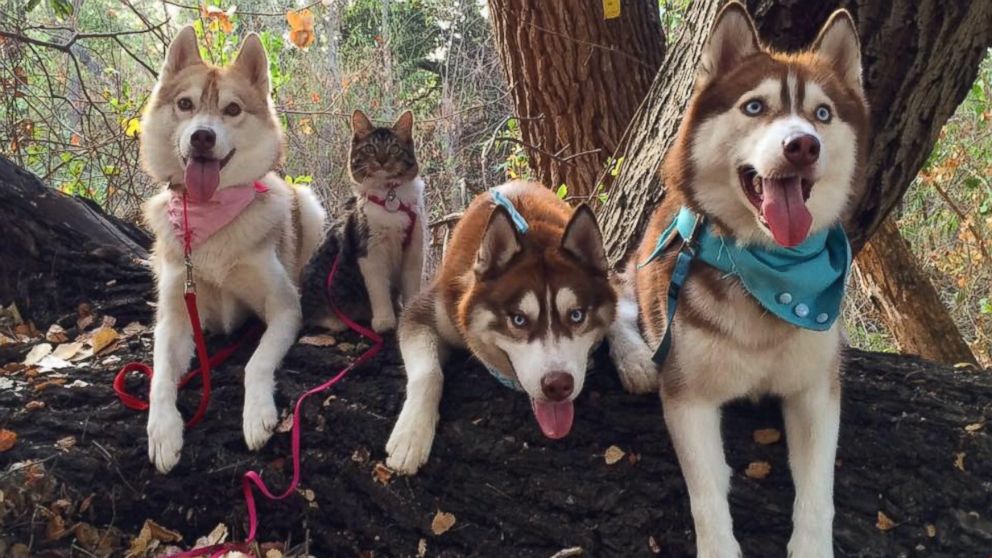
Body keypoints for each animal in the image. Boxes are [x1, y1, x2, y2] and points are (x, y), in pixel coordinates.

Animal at [298, 111, 422, 334]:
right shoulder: (370, 250)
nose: (381, 160)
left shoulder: (414, 249)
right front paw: (384, 321)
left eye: (394, 148)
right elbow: (379, 289)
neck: (391, 197)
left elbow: (412, 288)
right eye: (370, 148)